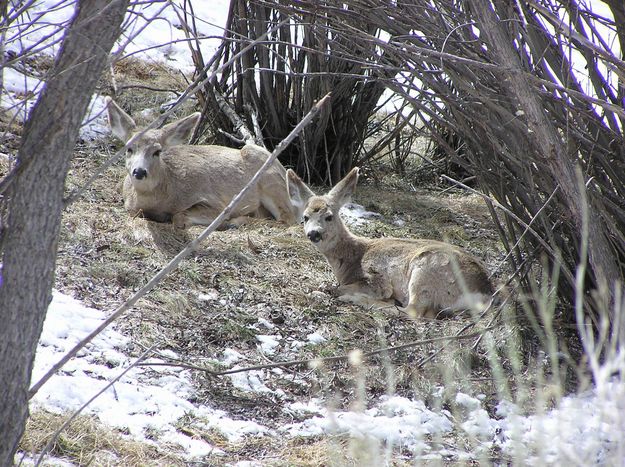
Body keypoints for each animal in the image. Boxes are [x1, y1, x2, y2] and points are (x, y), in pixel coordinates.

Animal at [105, 98, 298, 229]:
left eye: (157, 151)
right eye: (129, 148)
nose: (139, 171)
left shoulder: (216, 203)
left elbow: (179, 217)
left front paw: (222, 222)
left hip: (271, 179)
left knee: (288, 218)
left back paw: (236, 221)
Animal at [286, 167, 494, 318]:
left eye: (329, 216)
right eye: (305, 217)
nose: (314, 233)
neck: (352, 258)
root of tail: (485, 292)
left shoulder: (377, 279)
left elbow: (335, 288)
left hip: (427, 270)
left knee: (413, 311)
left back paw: (358, 299)